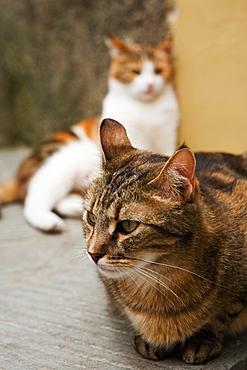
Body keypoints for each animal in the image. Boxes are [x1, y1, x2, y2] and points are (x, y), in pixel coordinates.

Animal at [0, 34, 178, 231]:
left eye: (158, 71)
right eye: (135, 71)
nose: (150, 85)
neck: (147, 107)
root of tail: (18, 176)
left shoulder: (167, 135)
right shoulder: (133, 135)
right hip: (61, 164)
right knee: (35, 197)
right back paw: (49, 222)